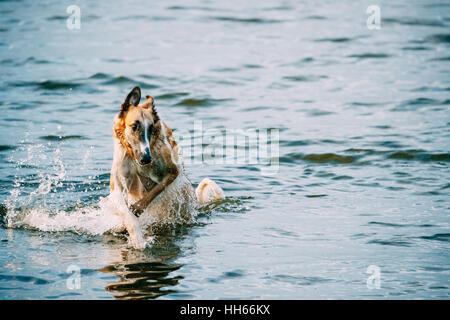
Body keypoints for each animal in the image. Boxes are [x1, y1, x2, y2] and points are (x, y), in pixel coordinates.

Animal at [107, 86, 223, 249]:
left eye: (151, 128)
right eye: (134, 126)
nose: (146, 158)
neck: (134, 157)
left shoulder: (173, 172)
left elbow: (155, 190)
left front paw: (138, 209)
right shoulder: (117, 185)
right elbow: (126, 211)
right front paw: (136, 235)